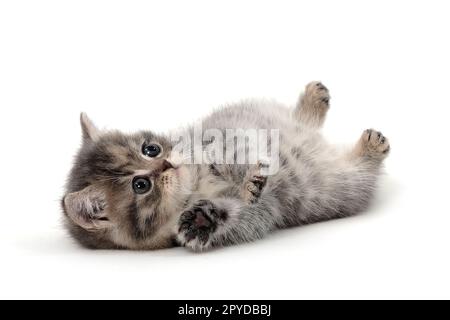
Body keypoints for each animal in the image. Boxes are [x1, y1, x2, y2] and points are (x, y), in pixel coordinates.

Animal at [61, 82, 388, 252]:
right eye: (140, 185)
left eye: (150, 148)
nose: (167, 163)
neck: (197, 184)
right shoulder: (263, 211)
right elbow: (240, 212)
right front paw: (203, 220)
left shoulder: (223, 133)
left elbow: (234, 151)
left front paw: (245, 174)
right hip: (342, 184)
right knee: (362, 171)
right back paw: (371, 147)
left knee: (303, 119)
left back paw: (315, 99)